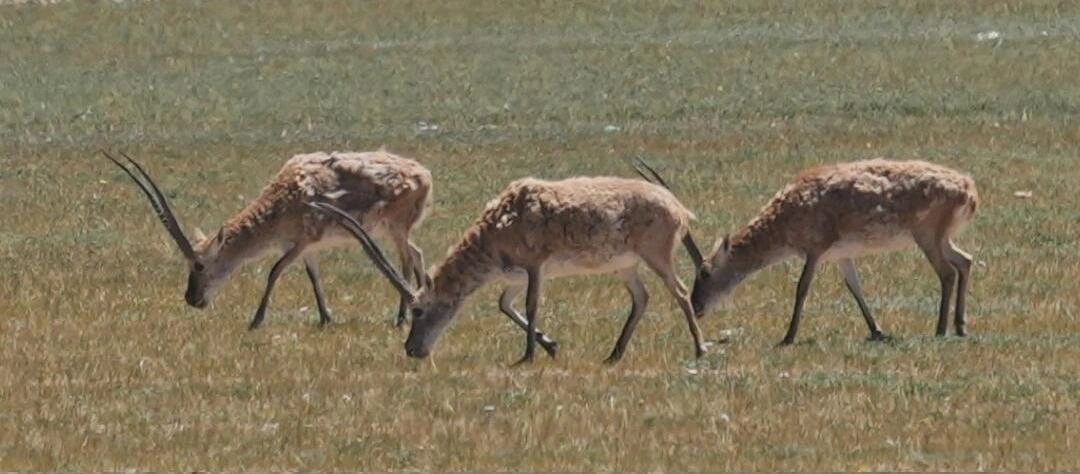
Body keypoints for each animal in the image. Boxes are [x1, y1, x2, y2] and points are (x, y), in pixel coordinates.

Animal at [102, 149, 434, 329]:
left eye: (199, 265)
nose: (192, 299)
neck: (283, 198)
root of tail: (424, 175)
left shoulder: (299, 243)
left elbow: (274, 271)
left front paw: (256, 320)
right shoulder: (307, 249)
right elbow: (314, 277)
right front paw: (325, 317)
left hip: (395, 228)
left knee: (407, 259)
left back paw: (401, 317)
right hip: (392, 230)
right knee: (417, 253)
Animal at [309, 175, 709, 364]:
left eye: (419, 309)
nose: (412, 350)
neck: (499, 223)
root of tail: (677, 207)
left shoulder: (535, 267)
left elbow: (532, 305)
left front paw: (529, 355)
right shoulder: (513, 277)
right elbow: (505, 306)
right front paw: (550, 345)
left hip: (657, 255)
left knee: (680, 292)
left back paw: (700, 349)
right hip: (626, 266)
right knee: (641, 298)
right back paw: (613, 355)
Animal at [636, 158, 979, 345]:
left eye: (705, 271)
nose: (697, 306)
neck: (787, 211)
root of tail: (970, 190)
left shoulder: (814, 249)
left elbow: (802, 288)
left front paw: (788, 337)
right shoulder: (841, 254)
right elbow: (855, 287)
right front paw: (878, 331)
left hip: (927, 236)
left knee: (947, 271)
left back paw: (940, 329)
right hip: (941, 238)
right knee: (965, 261)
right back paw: (960, 326)